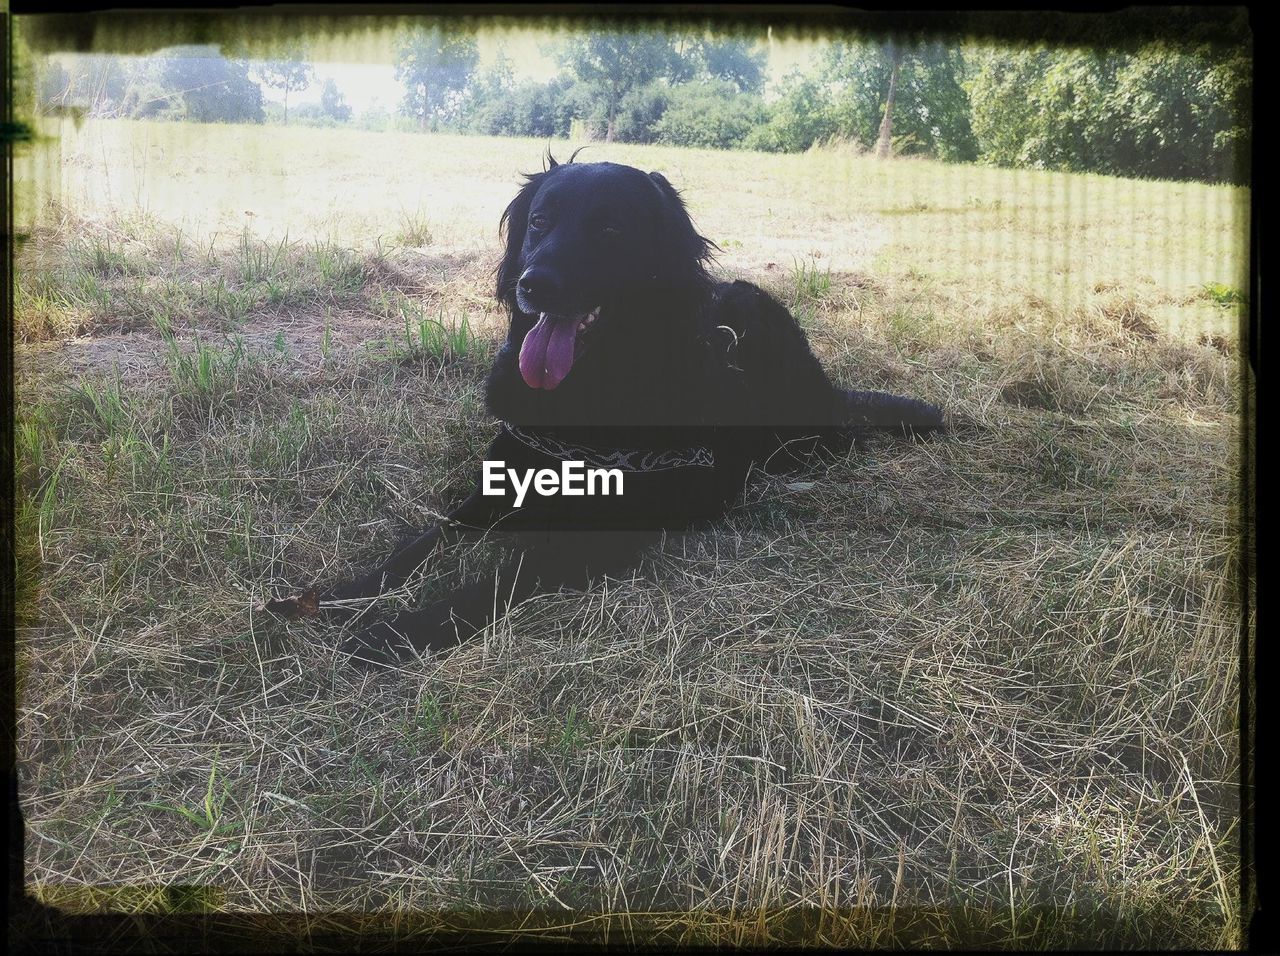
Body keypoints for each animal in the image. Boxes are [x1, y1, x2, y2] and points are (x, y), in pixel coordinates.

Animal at [325, 156, 947, 665]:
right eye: (539, 221)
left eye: (609, 229)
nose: (533, 285)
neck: (584, 394)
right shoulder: (498, 488)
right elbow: (426, 537)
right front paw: (345, 591)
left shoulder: (602, 535)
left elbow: (500, 578)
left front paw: (401, 629)